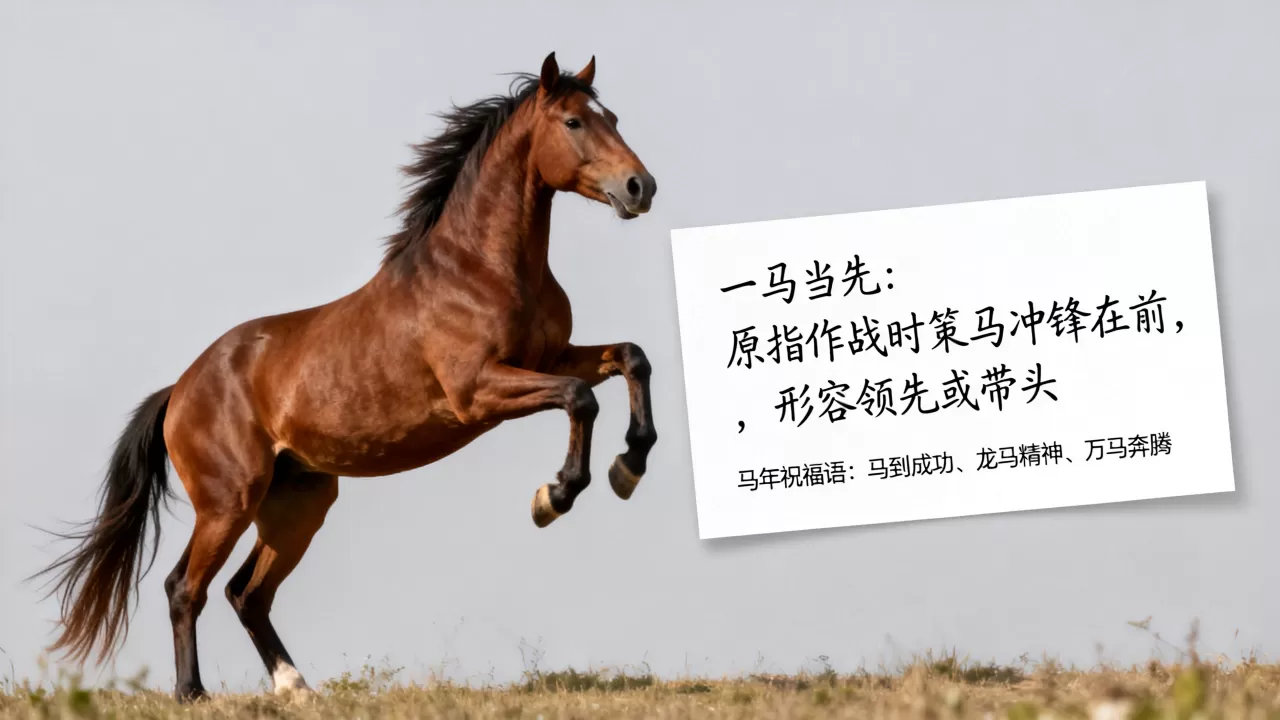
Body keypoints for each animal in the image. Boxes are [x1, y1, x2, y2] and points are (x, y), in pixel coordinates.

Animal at [32, 52, 659, 702]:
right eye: (572, 122)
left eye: (611, 117)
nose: (641, 187)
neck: (482, 268)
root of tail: (179, 390)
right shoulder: (478, 392)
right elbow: (580, 399)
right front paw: (553, 496)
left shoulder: (550, 357)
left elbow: (631, 358)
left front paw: (628, 467)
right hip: (228, 503)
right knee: (186, 587)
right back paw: (193, 693)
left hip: (297, 503)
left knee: (246, 593)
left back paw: (295, 687)